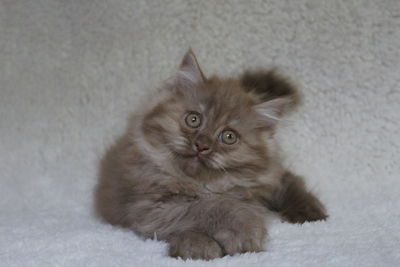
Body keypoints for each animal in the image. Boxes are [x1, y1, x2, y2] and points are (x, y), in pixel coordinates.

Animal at [95, 50, 326, 262]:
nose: (202, 145)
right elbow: (210, 206)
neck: (204, 184)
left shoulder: (269, 176)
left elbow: (288, 183)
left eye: (229, 137)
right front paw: (234, 233)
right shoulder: (148, 207)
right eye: (193, 119)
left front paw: (309, 211)